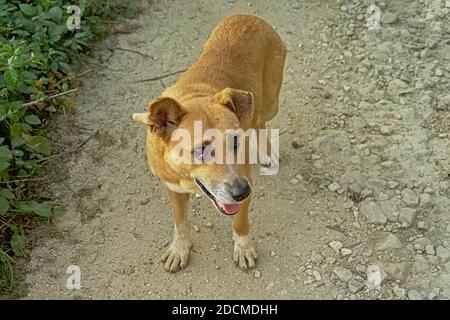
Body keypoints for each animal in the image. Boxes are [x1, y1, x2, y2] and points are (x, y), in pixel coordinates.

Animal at [133, 13, 284, 272]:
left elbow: (240, 222)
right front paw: (179, 249)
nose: (242, 192)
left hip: (268, 103)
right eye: (201, 149)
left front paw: (243, 247)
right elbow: (180, 223)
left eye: (235, 141)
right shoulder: (172, 189)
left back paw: (265, 152)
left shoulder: (244, 180)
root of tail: (249, 16)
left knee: (260, 121)